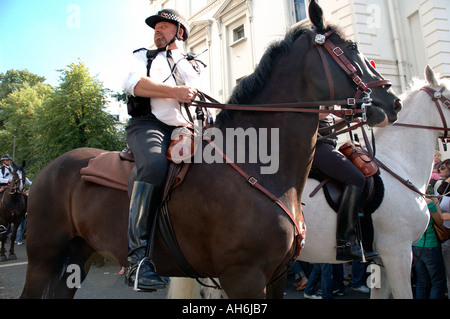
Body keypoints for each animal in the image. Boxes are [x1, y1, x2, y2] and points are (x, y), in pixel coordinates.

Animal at [20, 0, 400, 300]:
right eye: (350, 46)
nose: (390, 101)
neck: (258, 166)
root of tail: (50, 168)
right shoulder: (243, 277)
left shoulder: (276, 276)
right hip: (43, 257)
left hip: (76, 257)